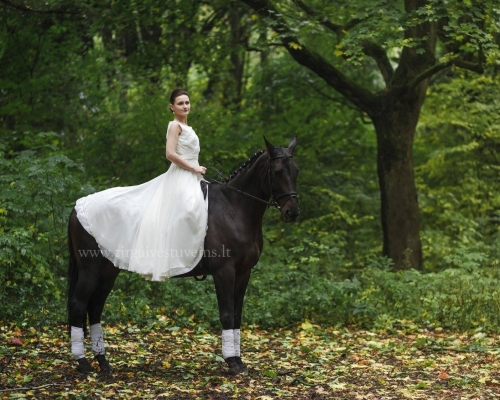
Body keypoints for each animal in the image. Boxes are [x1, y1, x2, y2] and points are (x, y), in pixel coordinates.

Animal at [68, 137, 298, 376]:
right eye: (277, 171)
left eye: (296, 171)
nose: (292, 212)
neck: (233, 208)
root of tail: (77, 207)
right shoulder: (224, 272)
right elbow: (226, 314)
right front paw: (231, 362)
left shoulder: (244, 272)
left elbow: (236, 315)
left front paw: (239, 362)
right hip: (90, 270)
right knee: (78, 304)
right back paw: (83, 363)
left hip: (108, 271)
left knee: (95, 307)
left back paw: (103, 362)